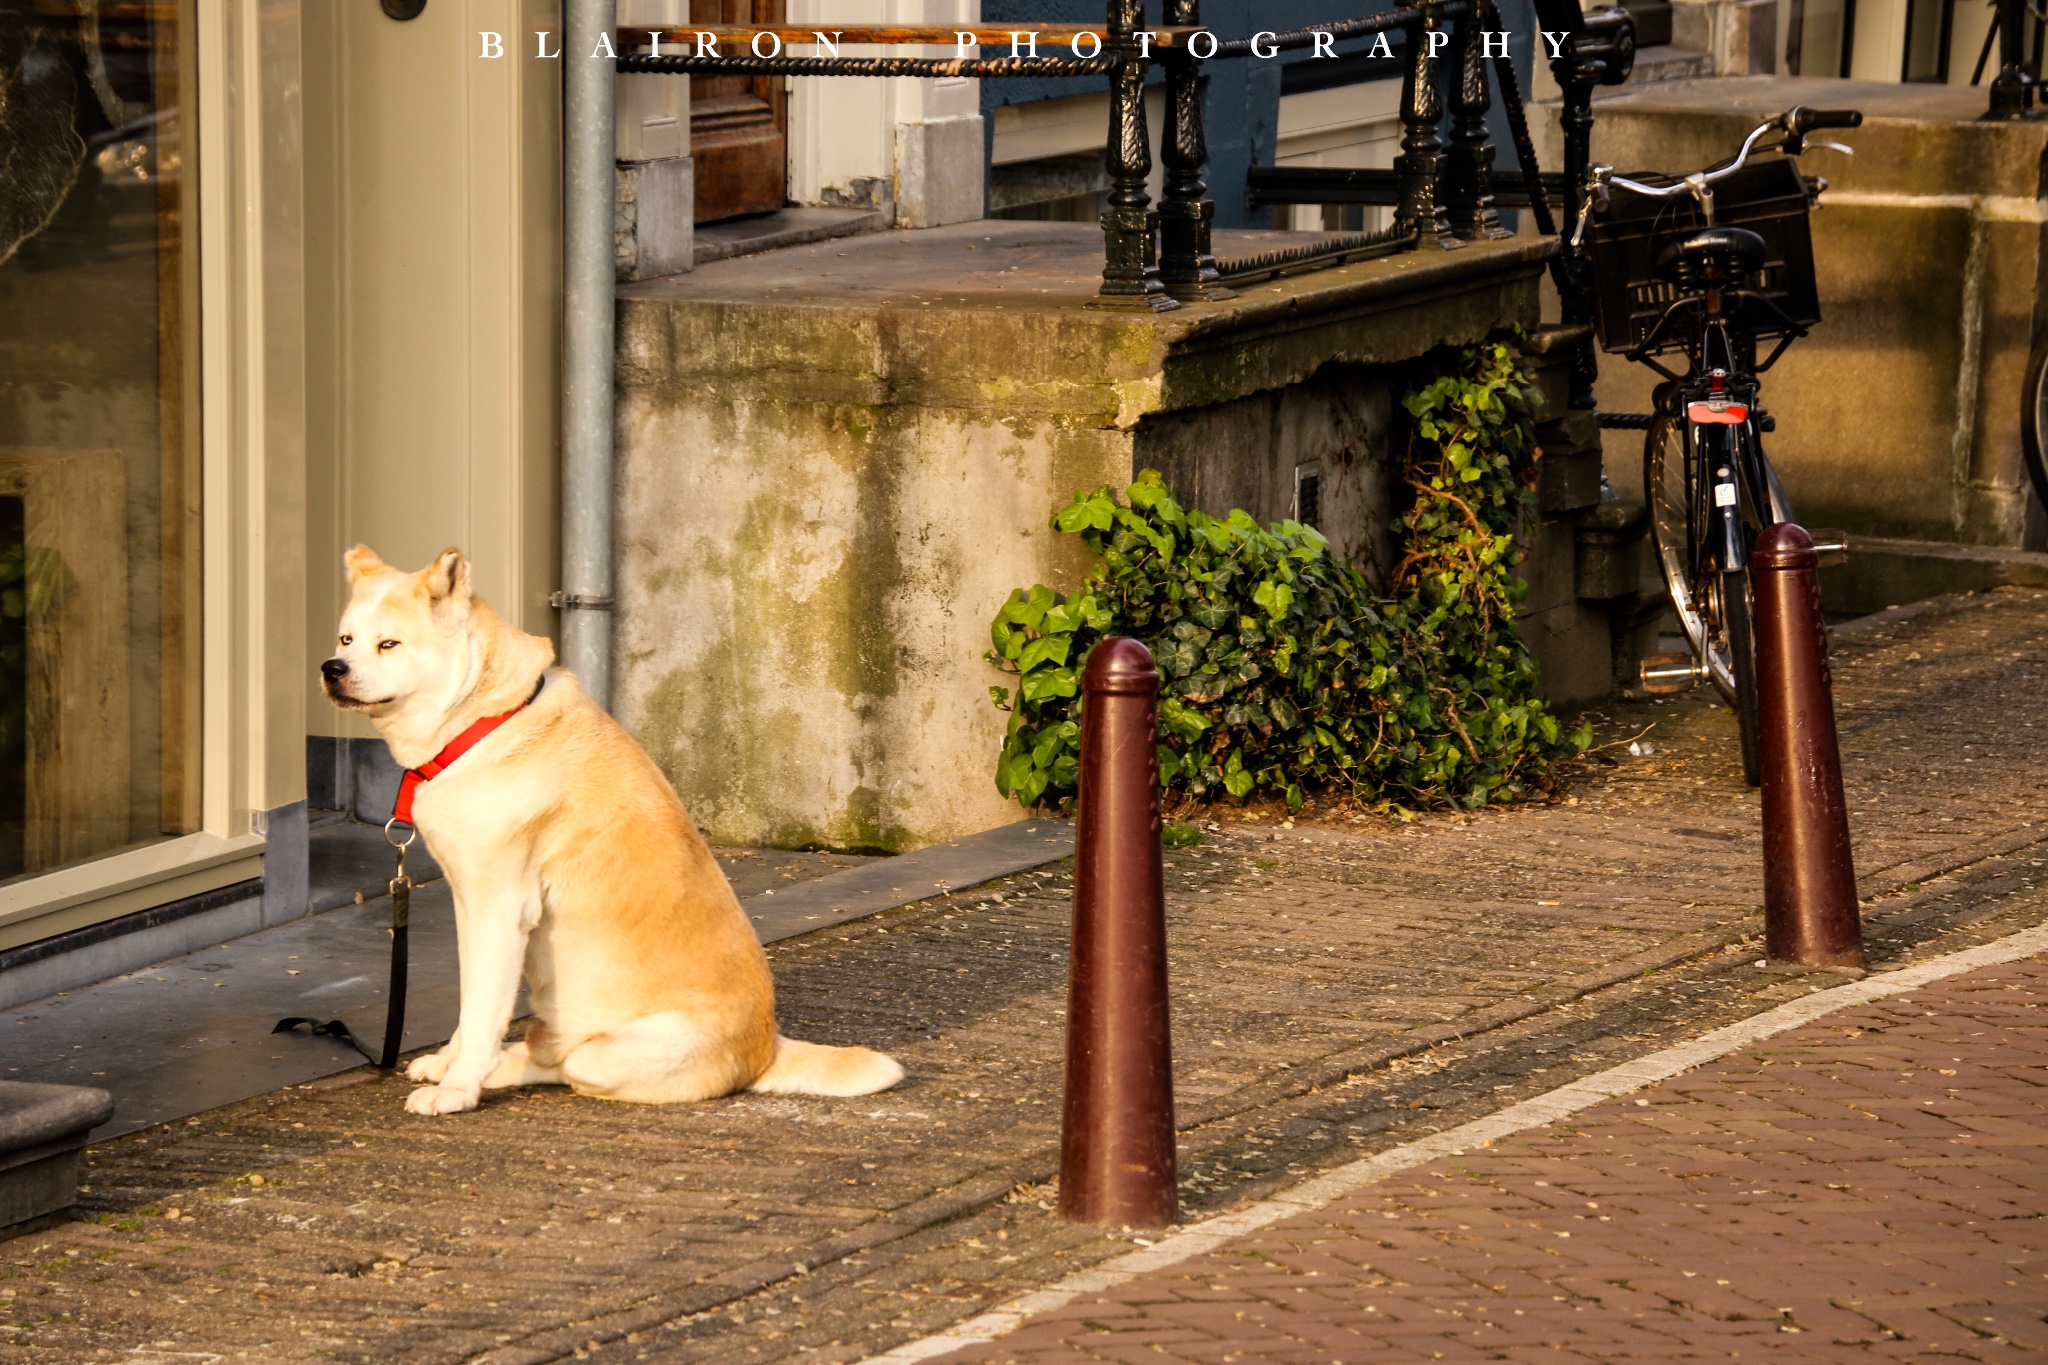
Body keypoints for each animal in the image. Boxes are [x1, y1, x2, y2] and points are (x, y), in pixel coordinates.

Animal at [321, 540, 905, 1113]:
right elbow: (472, 1003)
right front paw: (452, 1065)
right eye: (346, 639)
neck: (485, 719)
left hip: (604, 1054)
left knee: (567, 1066)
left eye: (389, 644)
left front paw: (459, 1089)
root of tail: (766, 1050)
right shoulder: (471, 905)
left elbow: (483, 1013)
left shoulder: (502, 906)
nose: (332, 667)